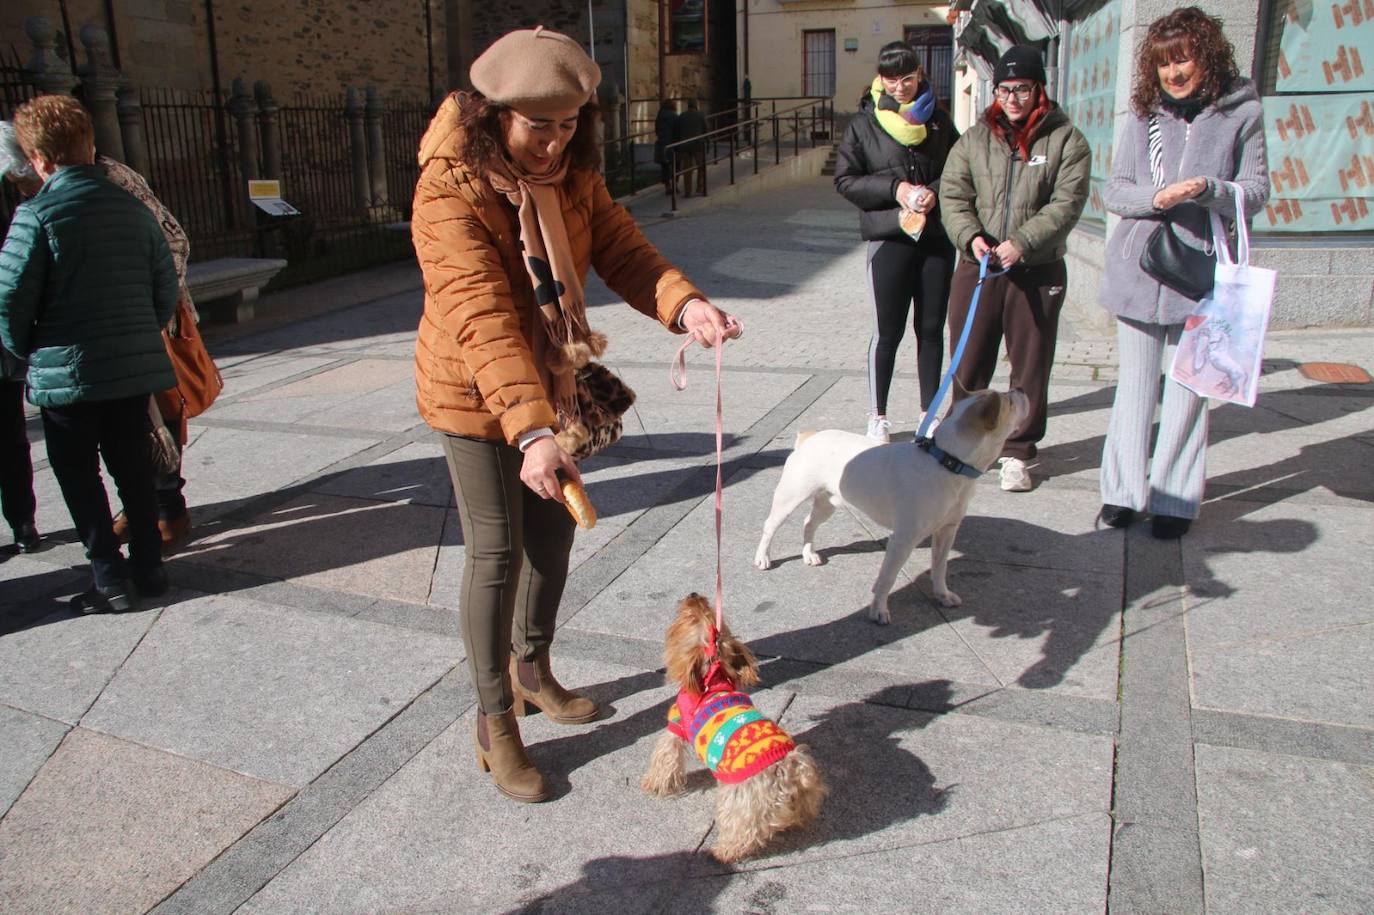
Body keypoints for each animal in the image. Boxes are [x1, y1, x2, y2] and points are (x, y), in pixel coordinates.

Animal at [640, 588, 824, 857]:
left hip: (738, 798)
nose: (694, 594)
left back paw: (723, 851)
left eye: (689, 618)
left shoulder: (676, 723)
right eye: (712, 613)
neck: (713, 677)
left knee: (742, 830)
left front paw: (652, 784)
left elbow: (666, 757)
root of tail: (786, 771)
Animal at [752, 384, 1033, 620]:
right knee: (769, 526)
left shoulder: (946, 532)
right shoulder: (903, 540)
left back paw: (809, 554)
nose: (1020, 388)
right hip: (790, 498)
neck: (946, 462)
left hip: (828, 502)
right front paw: (878, 610)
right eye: (1009, 401)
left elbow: (939, 568)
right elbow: (888, 577)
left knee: (809, 523)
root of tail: (810, 437)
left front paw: (942, 595)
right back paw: (763, 558)